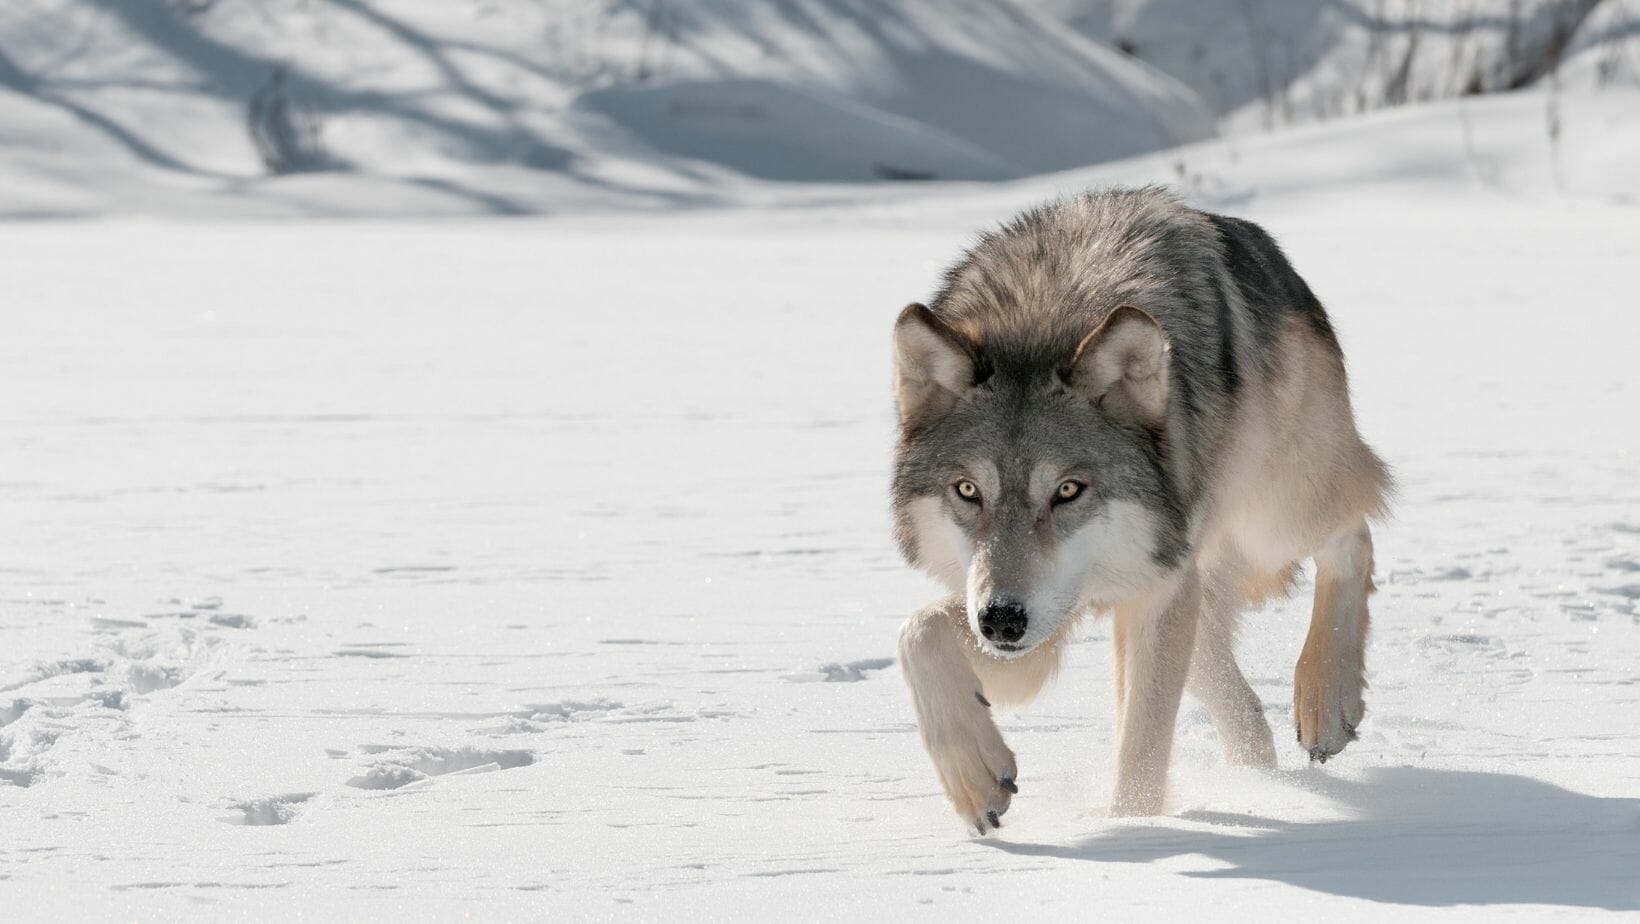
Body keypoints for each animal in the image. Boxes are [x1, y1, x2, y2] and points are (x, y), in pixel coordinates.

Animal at [891, 187, 1390, 833]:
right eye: (968, 491)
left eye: (1068, 490)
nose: (1001, 620)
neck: (1044, 316)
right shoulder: (1039, 623)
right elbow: (918, 632)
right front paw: (975, 779)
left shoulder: (1147, 591)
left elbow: (1143, 746)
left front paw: (1133, 831)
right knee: (1232, 691)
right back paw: (1257, 776)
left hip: (1271, 518)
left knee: (1354, 532)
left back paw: (1324, 704)